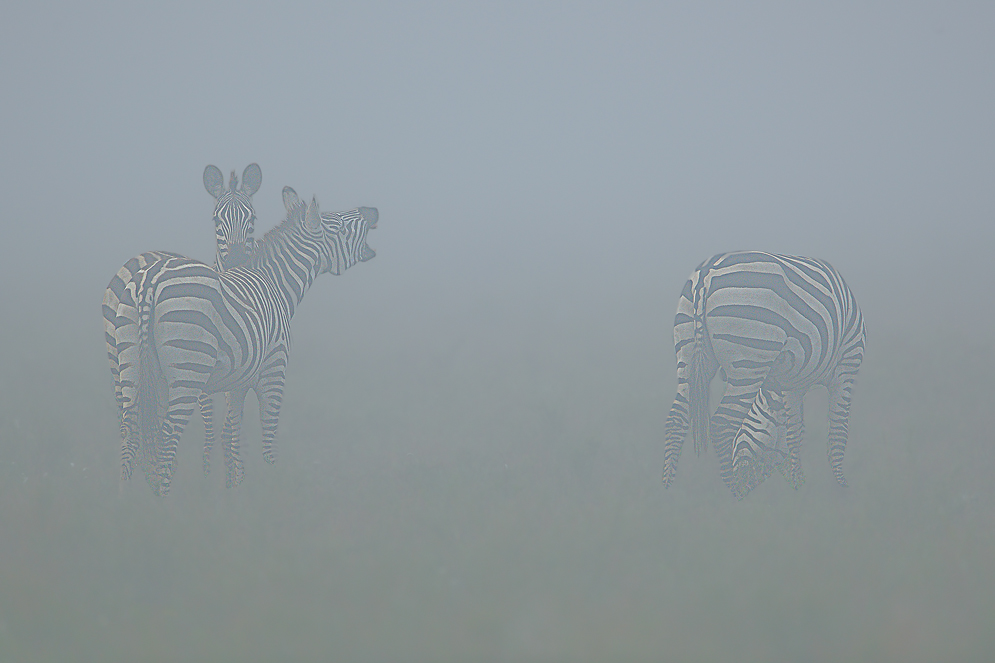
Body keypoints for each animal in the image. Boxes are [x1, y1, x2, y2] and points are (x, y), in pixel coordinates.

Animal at [103, 163, 260, 480]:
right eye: (216, 219)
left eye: (252, 217)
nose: (237, 260)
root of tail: (141, 261)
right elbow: (215, 422)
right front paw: (211, 474)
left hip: (119, 359)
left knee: (129, 421)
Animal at [115, 189, 378, 496]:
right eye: (339, 225)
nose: (373, 210)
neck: (277, 285)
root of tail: (151, 281)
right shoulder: (275, 369)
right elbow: (269, 432)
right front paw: (271, 484)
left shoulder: (238, 380)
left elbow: (231, 432)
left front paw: (233, 490)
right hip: (189, 368)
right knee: (167, 434)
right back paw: (162, 500)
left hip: (131, 365)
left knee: (130, 431)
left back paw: (127, 498)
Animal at [660, 253, 864, 498]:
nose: (746, 483)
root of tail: (706, 274)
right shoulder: (847, 366)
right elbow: (837, 432)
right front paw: (840, 487)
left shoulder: (792, 384)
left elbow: (794, 432)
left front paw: (798, 485)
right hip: (749, 359)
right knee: (722, 423)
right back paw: (735, 492)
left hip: (689, 355)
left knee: (676, 418)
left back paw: (667, 488)